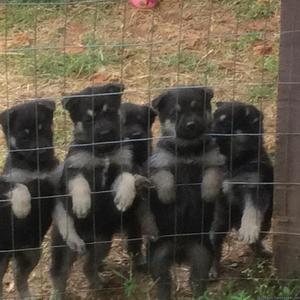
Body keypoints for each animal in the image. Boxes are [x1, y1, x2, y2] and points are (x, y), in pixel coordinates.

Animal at [0, 99, 59, 298]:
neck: (35, 166)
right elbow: (21, 187)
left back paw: (26, 295)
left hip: (31, 252)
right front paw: (22, 209)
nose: (42, 151)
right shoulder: (8, 180)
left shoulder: (54, 179)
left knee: (19, 275)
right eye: (24, 136)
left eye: (44, 128)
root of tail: (12, 249)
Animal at [148, 86, 225, 300]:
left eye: (197, 109)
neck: (187, 149)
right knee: (163, 281)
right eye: (175, 114)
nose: (191, 124)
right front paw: (167, 196)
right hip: (158, 256)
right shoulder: (159, 163)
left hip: (201, 254)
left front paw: (207, 194)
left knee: (197, 281)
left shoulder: (213, 161)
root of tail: (180, 251)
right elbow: (165, 178)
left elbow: (211, 177)